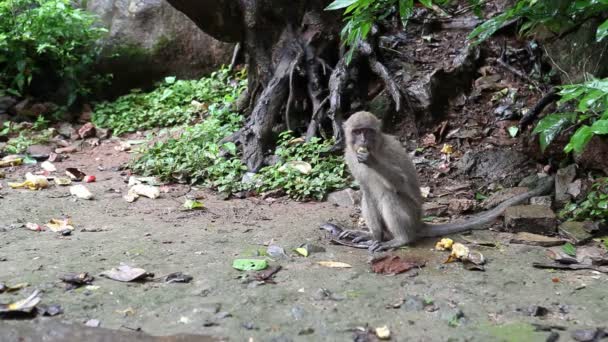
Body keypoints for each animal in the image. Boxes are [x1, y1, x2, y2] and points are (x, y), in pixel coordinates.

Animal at [342, 111, 556, 252]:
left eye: (367, 131)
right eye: (357, 131)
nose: (363, 141)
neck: (376, 147)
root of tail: (418, 223)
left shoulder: (390, 150)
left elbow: (401, 182)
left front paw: (372, 161)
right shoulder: (349, 156)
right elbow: (366, 190)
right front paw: (372, 235)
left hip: (411, 217)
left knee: (390, 195)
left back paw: (401, 239)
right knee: (368, 195)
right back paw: (377, 236)